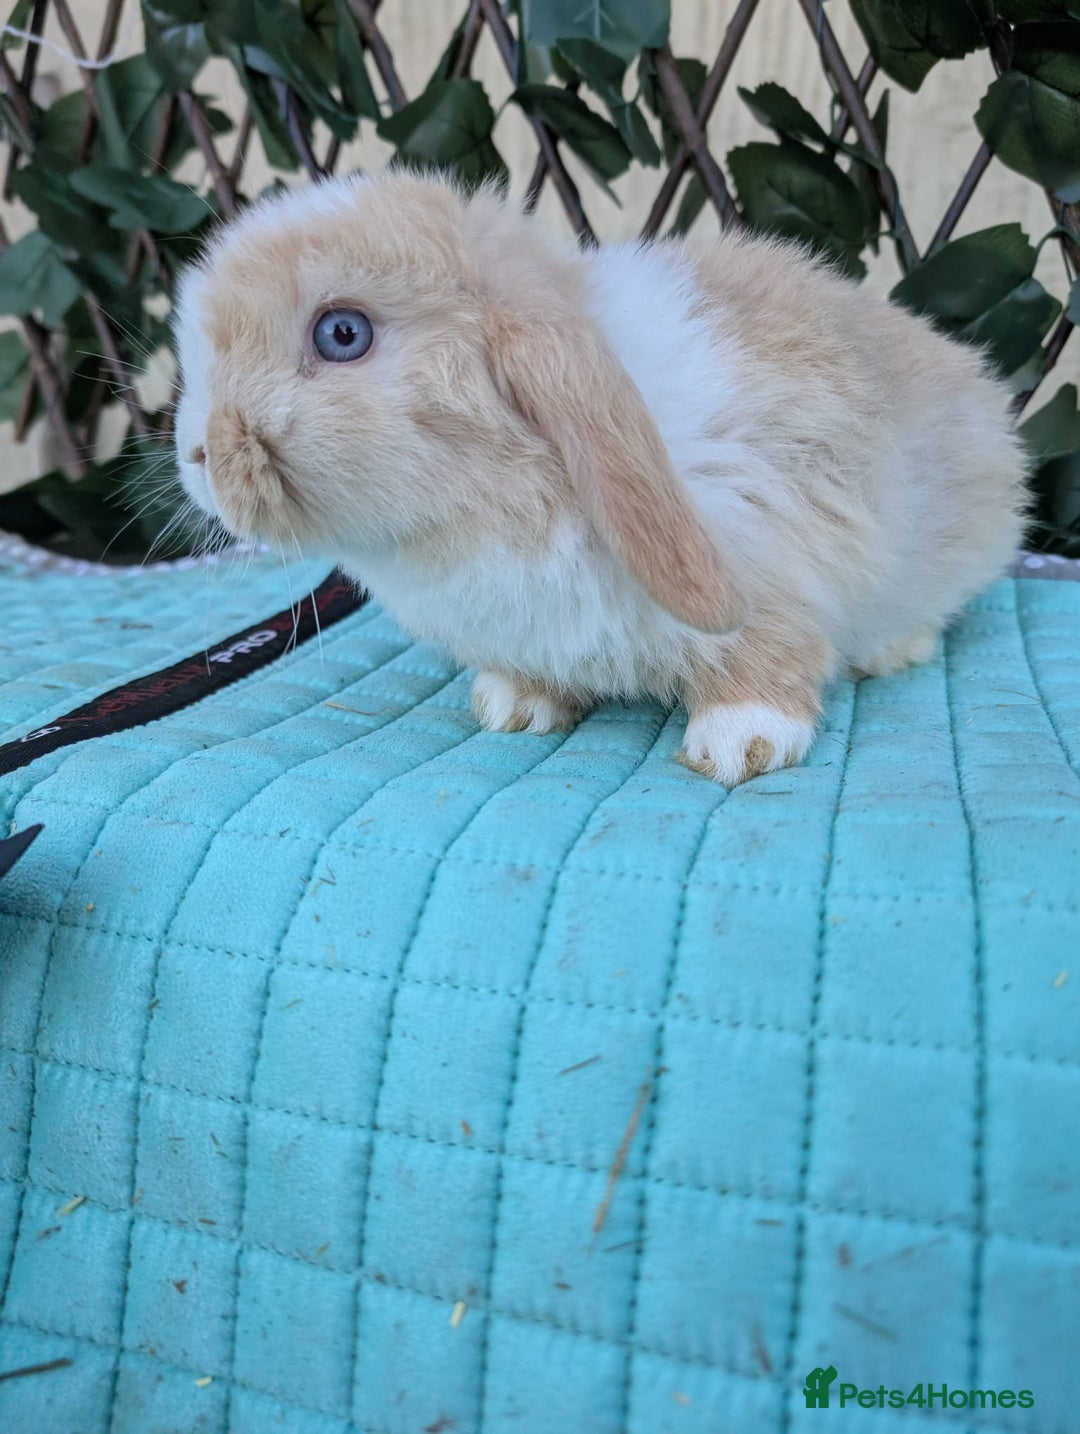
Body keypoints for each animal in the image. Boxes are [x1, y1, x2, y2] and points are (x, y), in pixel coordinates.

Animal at [172, 169, 1028, 786]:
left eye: (342, 334)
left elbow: (763, 653)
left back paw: (891, 650)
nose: (199, 455)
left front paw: (740, 744)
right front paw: (514, 706)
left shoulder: (773, 553)